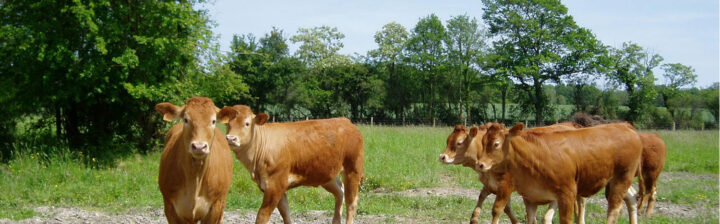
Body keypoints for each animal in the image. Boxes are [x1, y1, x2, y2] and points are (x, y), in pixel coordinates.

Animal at [218, 106, 366, 224]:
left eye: (247, 124)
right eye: (228, 124)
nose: (231, 138)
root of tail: (345, 120)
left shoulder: (275, 185)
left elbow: (262, 216)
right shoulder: (273, 186)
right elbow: (285, 212)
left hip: (353, 169)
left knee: (351, 202)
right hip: (327, 174)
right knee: (340, 193)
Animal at [436, 122, 576, 224]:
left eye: (459, 142)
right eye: (448, 141)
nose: (442, 156)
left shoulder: (506, 186)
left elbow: (497, 209)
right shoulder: (491, 185)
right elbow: (488, 202)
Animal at [478, 122, 640, 224]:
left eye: (496, 144)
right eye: (483, 142)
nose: (480, 164)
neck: (535, 158)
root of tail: (624, 125)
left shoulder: (567, 195)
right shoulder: (530, 198)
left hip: (622, 179)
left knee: (614, 211)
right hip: (614, 182)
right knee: (632, 197)